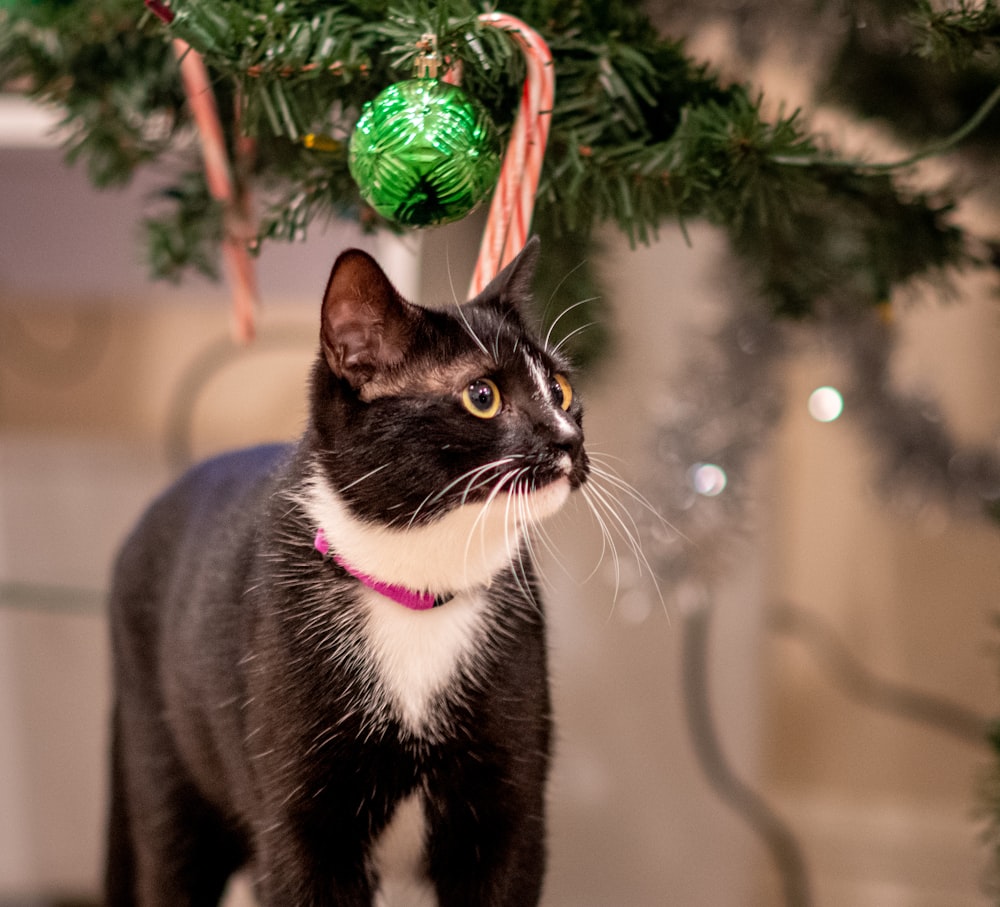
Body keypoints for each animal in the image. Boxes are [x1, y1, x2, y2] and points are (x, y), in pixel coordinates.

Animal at [105, 239, 588, 907]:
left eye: (562, 389)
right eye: (482, 396)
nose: (569, 440)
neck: (415, 590)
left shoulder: (509, 816)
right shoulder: (299, 829)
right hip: (167, 768)